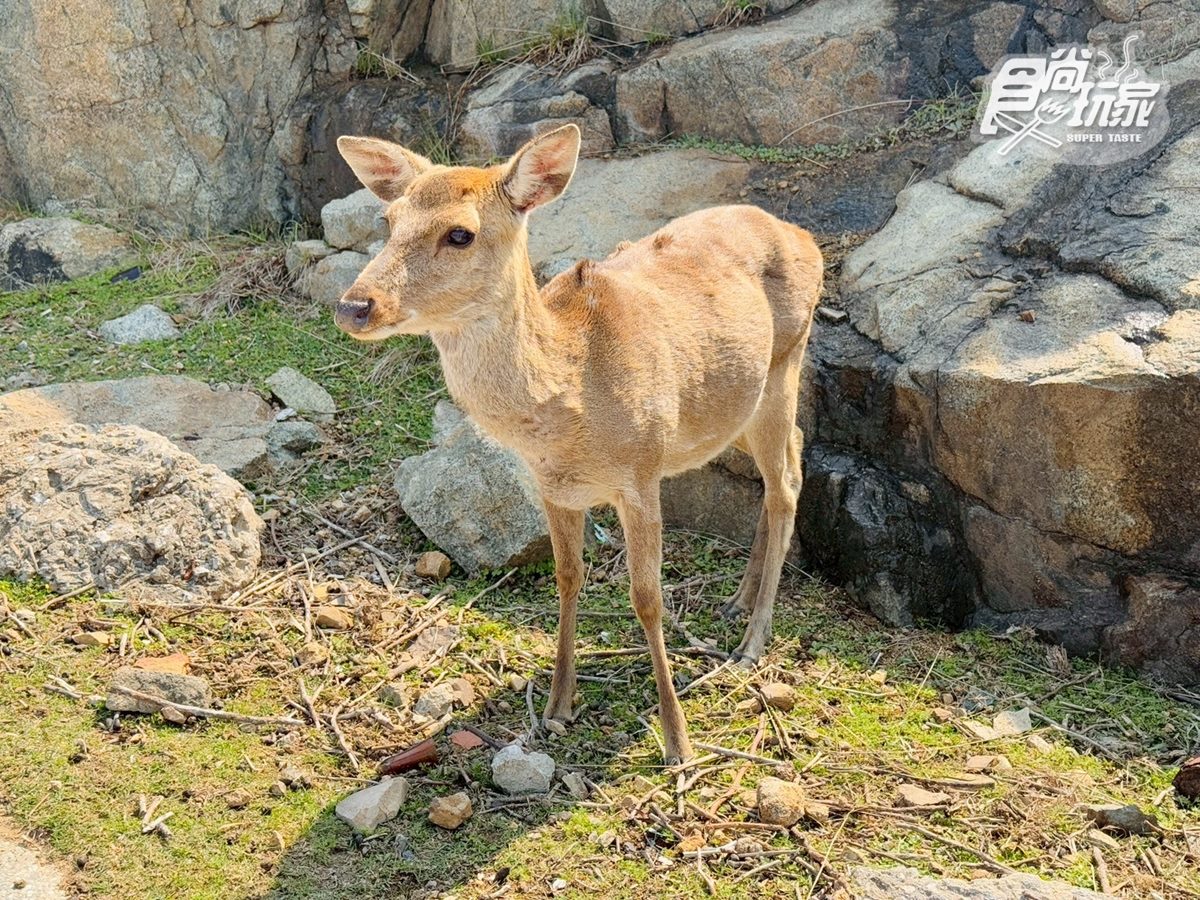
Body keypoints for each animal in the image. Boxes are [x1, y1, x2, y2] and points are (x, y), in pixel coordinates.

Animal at [333, 124, 823, 764]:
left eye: (460, 233)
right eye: (387, 220)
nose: (354, 305)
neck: (570, 401)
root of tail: (806, 237)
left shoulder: (641, 472)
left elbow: (647, 597)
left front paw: (677, 740)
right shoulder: (552, 488)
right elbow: (568, 577)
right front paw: (556, 706)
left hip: (785, 361)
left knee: (786, 480)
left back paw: (751, 641)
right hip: (733, 407)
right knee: (788, 460)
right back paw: (737, 601)